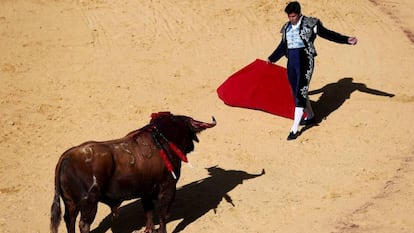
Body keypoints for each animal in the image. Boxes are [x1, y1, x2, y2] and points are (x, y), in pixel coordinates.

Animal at [49, 112, 217, 232]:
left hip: (71, 203)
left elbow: (149, 212)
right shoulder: (168, 188)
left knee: (69, 220)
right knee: (83, 224)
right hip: (89, 202)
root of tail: (67, 156)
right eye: (189, 131)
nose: (191, 146)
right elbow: (162, 215)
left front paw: (149, 230)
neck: (162, 139)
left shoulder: (146, 190)